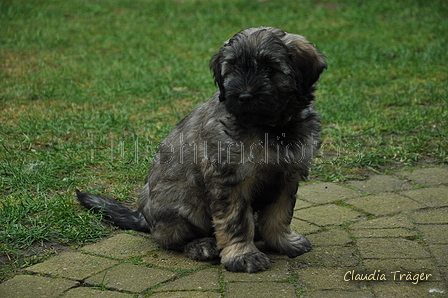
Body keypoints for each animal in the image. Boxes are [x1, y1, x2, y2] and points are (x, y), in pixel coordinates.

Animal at [77, 27, 328, 272]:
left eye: (270, 68)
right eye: (233, 69)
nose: (244, 96)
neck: (271, 128)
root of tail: (144, 218)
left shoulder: (287, 175)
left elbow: (280, 214)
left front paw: (283, 242)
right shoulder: (230, 180)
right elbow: (236, 221)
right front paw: (243, 256)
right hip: (180, 206)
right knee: (171, 239)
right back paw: (202, 245)